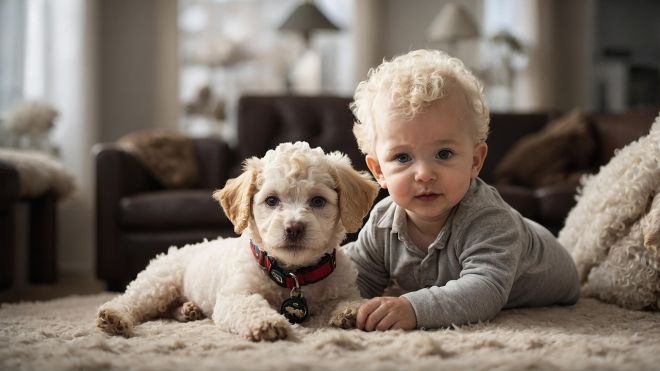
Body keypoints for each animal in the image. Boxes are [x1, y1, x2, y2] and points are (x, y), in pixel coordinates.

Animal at [95, 142, 378, 342]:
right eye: (271, 200)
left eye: (318, 201)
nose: (294, 228)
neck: (292, 275)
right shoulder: (234, 295)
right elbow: (249, 306)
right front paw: (267, 324)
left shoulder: (341, 288)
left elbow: (347, 300)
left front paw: (350, 311)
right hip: (157, 284)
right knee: (132, 301)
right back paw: (114, 317)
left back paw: (187, 309)